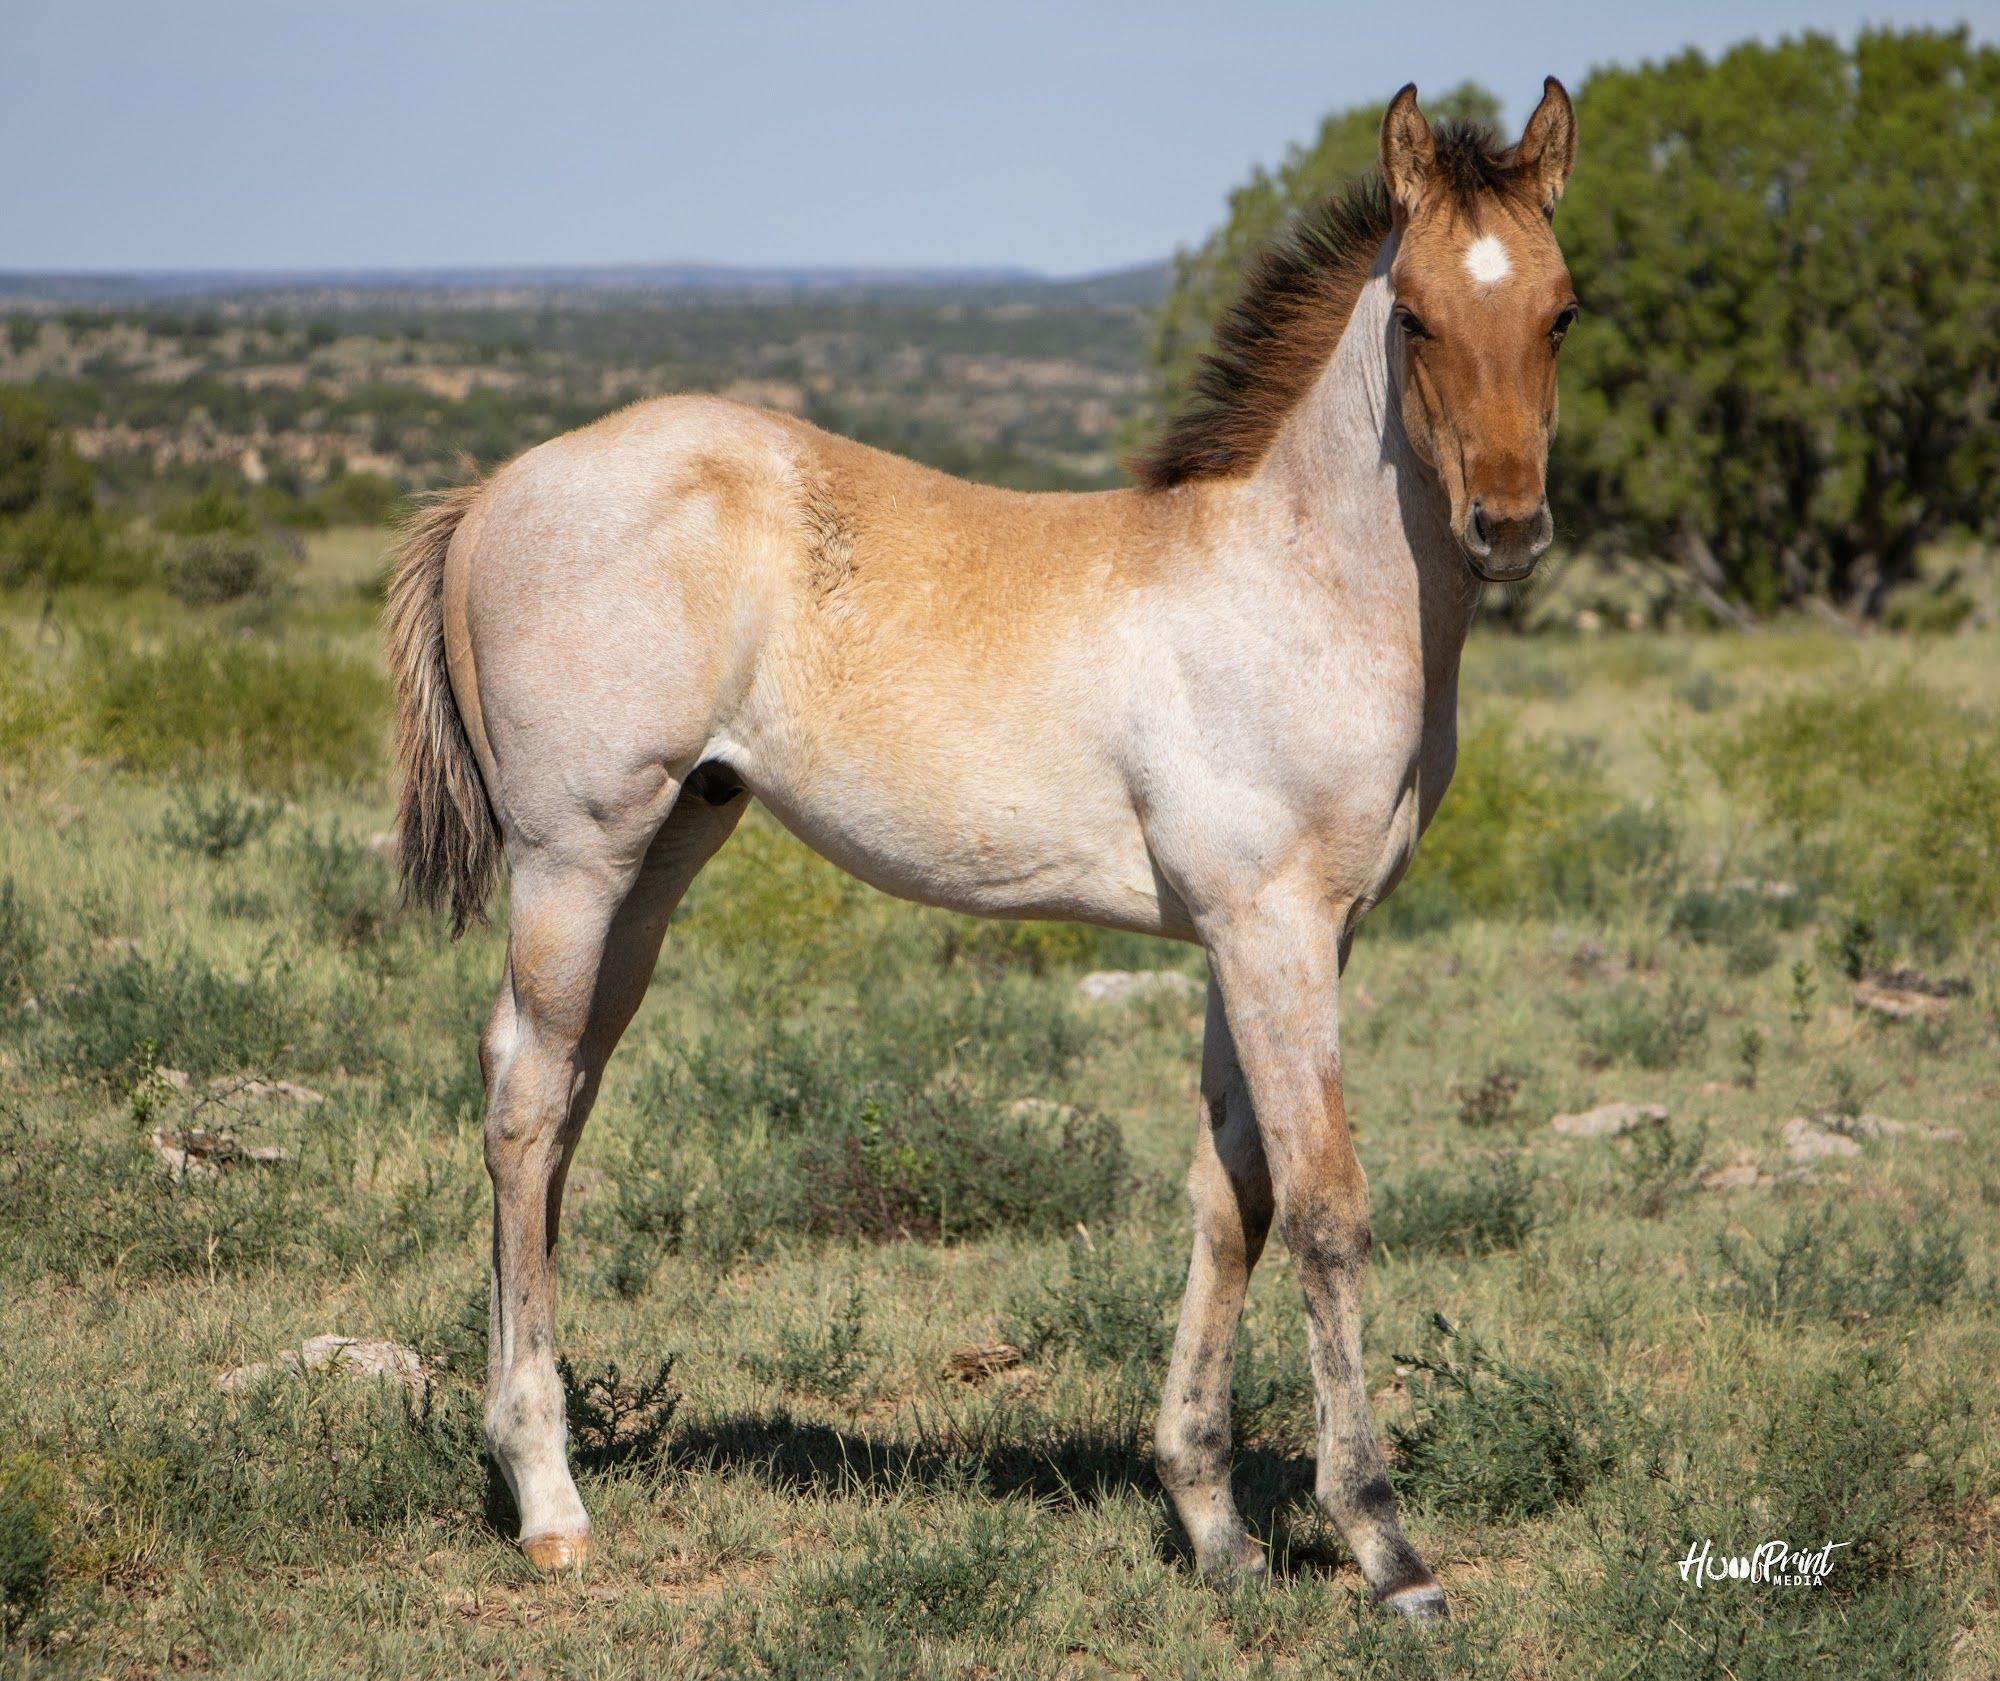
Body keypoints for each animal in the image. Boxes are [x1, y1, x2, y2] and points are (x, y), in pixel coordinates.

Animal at [385, 79, 1578, 1620]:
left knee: (555, 1094)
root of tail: (489, 491)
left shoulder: (1258, 938)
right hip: (572, 857)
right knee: (527, 1105)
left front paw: (1212, 1522)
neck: (1294, 582)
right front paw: (1383, 1545)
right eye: (1417, 318)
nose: (1508, 526)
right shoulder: (1277, 930)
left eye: (1561, 311)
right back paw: (547, 1497)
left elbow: (1230, 1195)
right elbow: (1324, 1207)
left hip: (662, 855)